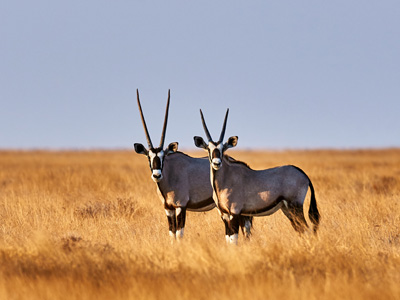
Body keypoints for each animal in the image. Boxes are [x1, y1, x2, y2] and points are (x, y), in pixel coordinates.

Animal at [134, 90, 253, 240]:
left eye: (163, 157)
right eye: (149, 157)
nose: (157, 175)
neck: (169, 175)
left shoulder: (181, 206)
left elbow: (179, 234)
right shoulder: (168, 209)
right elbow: (172, 233)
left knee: (246, 228)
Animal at [192, 108, 320, 244]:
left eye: (223, 149)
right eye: (208, 149)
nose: (217, 163)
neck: (224, 181)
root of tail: (303, 174)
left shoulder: (234, 213)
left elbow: (234, 240)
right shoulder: (224, 215)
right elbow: (228, 239)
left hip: (295, 207)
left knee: (306, 230)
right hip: (287, 209)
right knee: (301, 230)